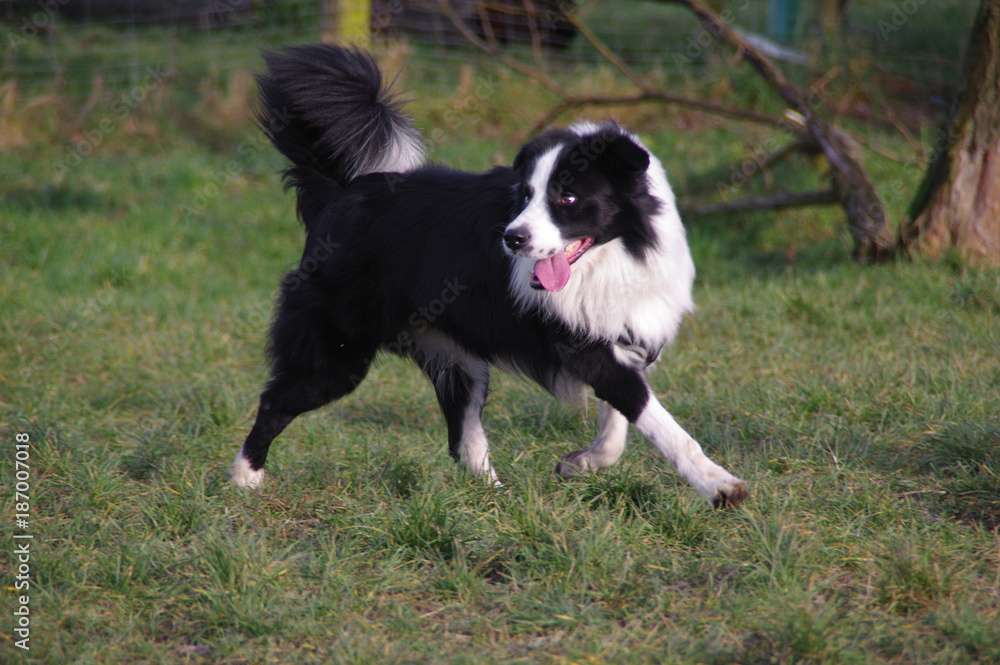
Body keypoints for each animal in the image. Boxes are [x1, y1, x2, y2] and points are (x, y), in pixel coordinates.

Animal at [230, 44, 748, 506]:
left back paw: (495, 498)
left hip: (458, 358)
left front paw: (579, 463)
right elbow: (655, 418)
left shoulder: (622, 332)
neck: (617, 253)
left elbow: (620, 421)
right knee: (275, 401)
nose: (512, 239)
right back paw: (245, 480)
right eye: (525, 195)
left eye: (568, 198)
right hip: (339, 353)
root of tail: (339, 194)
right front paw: (719, 486)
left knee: (463, 437)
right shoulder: (581, 343)